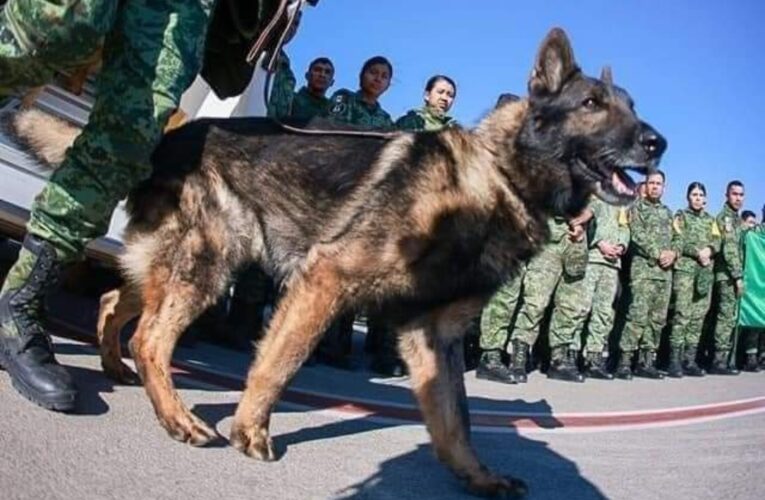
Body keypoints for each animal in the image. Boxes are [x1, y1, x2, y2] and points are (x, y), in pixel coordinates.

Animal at [13, 29, 668, 498]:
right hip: (214, 260)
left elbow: (455, 418)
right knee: (152, 335)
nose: (657, 143)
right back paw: (177, 417)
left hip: (185, 263)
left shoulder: (433, 336)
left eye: (632, 107)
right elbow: (278, 364)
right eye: (591, 104)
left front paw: (476, 477)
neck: (498, 175)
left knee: (115, 299)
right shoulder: (326, 280)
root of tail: (167, 139)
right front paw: (251, 432)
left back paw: (118, 368)